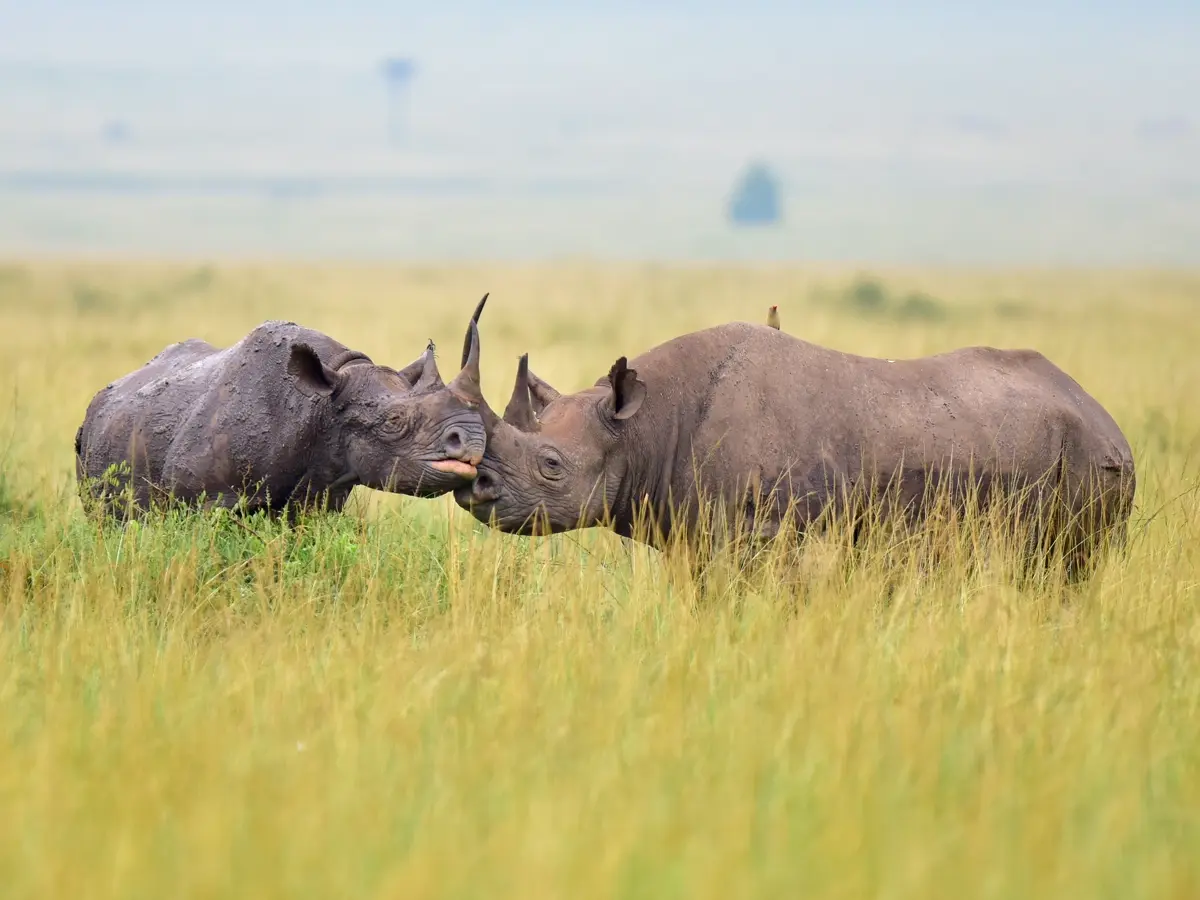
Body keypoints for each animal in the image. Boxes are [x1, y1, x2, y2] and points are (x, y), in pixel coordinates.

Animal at [453, 318, 1136, 576]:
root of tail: (1109, 421)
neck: (641, 425)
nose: (475, 490)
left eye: (551, 466)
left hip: (1089, 459)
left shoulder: (755, 536)